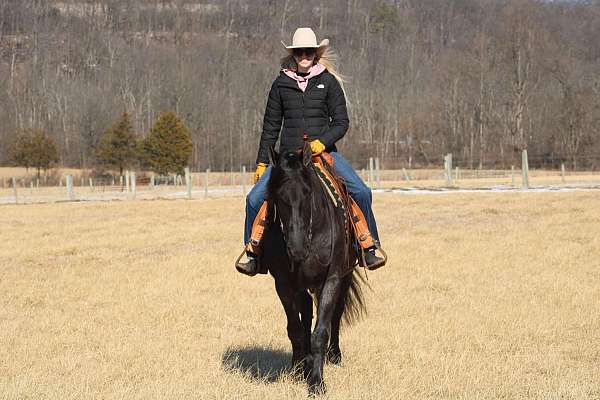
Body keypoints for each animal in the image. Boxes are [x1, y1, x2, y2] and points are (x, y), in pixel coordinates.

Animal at [258, 143, 366, 394]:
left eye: (307, 193)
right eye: (278, 196)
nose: (297, 248)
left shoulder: (332, 279)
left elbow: (321, 332)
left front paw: (317, 382)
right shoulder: (284, 284)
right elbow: (296, 329)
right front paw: (298, 370)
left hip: (345, 277)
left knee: (336, 314)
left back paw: (334, 356)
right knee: (306, 313)